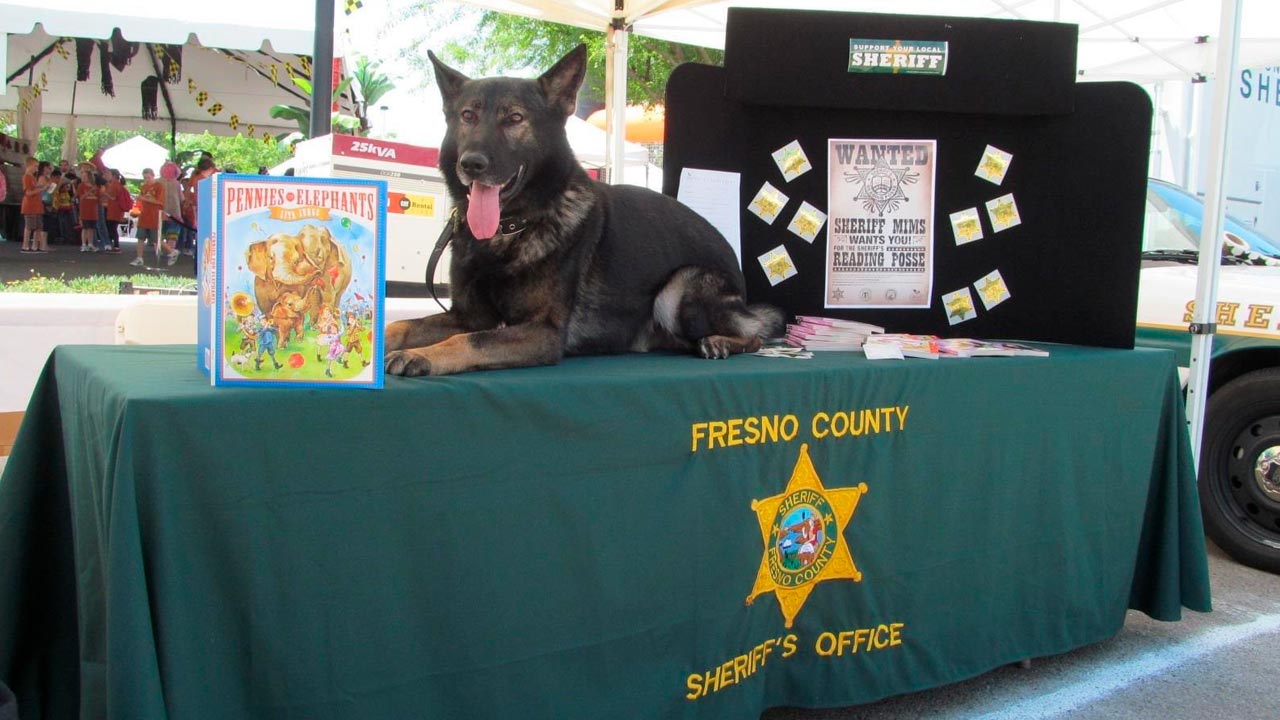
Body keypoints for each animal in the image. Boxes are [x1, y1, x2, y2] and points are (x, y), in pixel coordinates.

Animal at [381, 43, 778, 376]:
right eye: (467, 116)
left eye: (514, 119)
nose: (471, 163)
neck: (510, 229)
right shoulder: (467, 316)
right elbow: (400, 325)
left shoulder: (541, 332)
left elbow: (468, 341)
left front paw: (421, 355)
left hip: (678, 288)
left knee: (758, 337)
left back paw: (720, 341)